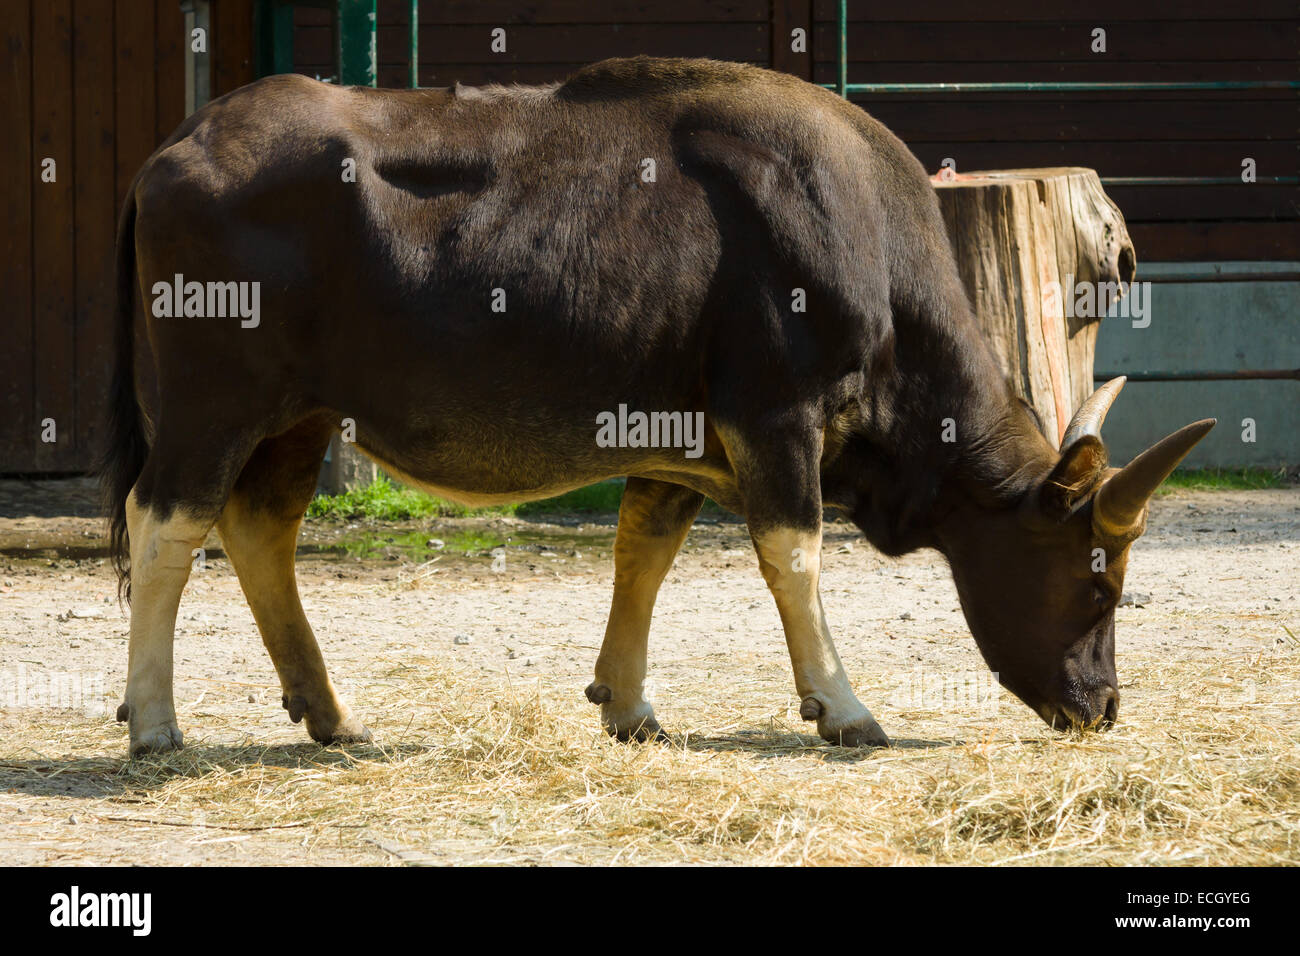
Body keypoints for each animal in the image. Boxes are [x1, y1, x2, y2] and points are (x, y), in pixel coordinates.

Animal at [98, 57, 1206, 754]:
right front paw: (842, 705)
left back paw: (331, 711)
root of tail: (171, 152)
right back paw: (153, 720)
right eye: (1099, 587)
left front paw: (628, 703)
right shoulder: (776, 418)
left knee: (257, 528)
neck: (862, 240)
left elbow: (645, 551)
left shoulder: (677, 439)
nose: (1102, 705)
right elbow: (793, 554)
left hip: (299, 416)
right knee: (166, 524)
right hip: (213, 403)